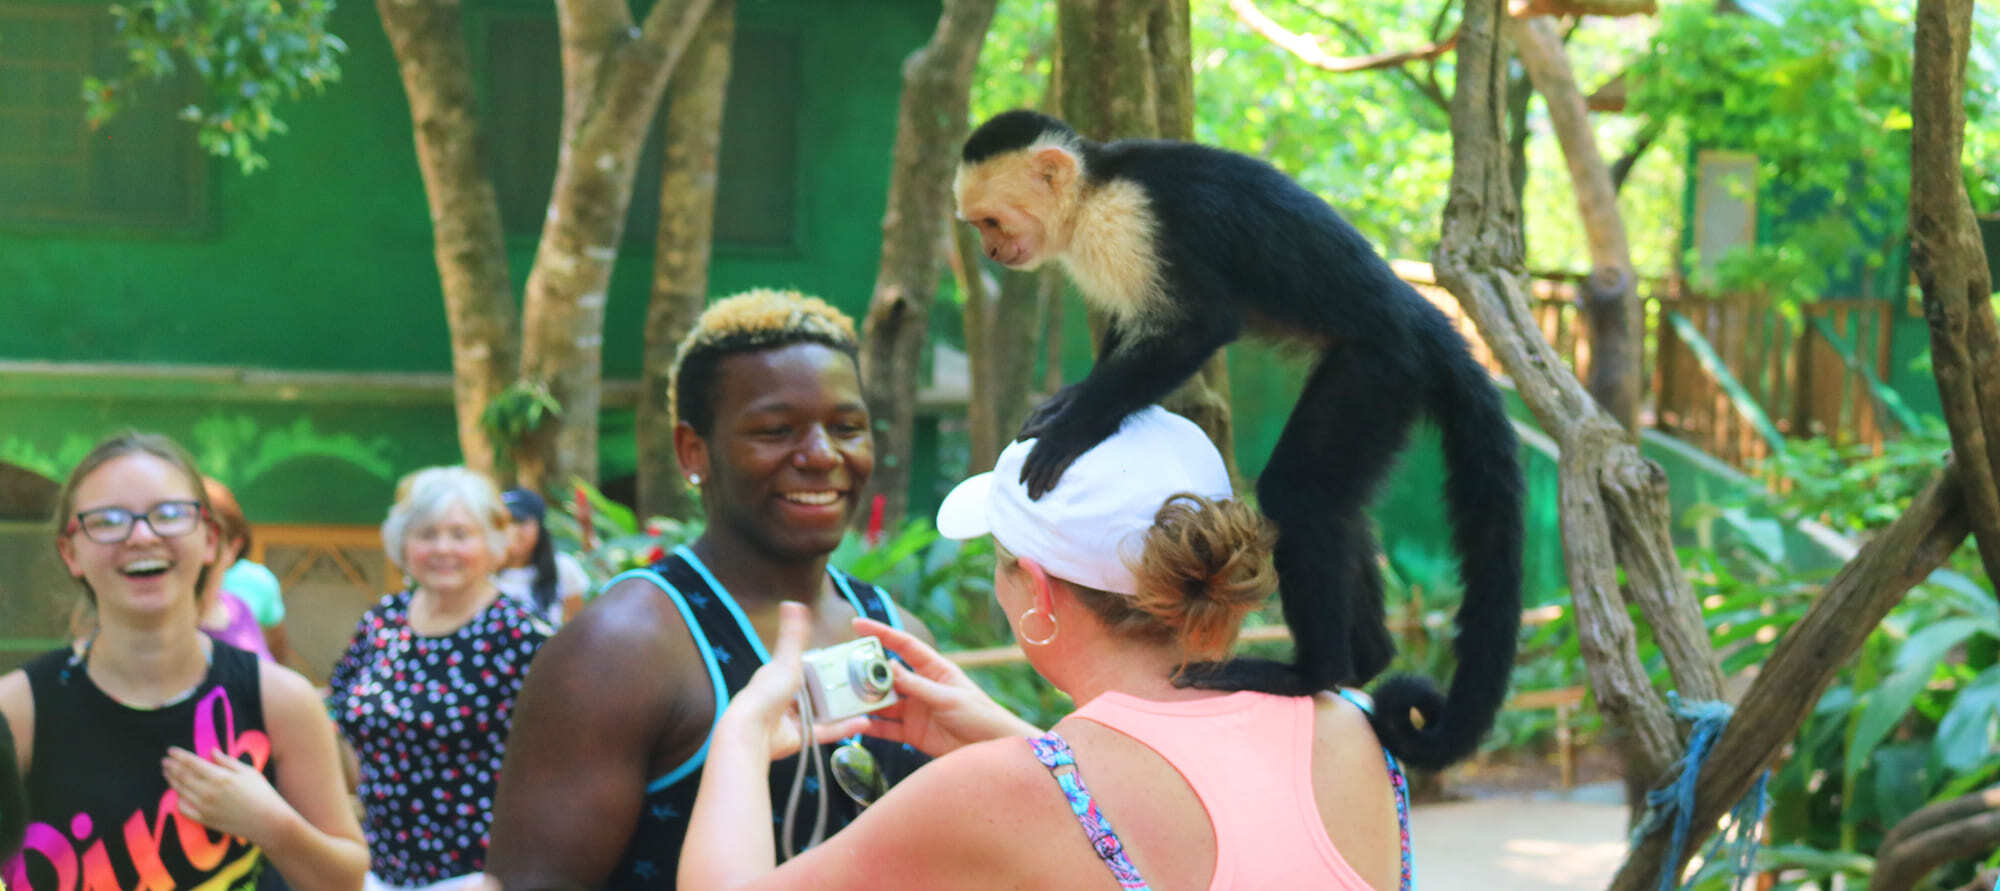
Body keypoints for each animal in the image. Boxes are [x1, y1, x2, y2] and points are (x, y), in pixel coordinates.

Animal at [960, 107, 1520, 771]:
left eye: (991, 221)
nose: (991, 251)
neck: (1094, 188)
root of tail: (1417, 312)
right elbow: (1130, 326)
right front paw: (1074, 400)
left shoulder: (1129, 221)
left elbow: (1200, 324)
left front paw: (1077, 424)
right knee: (1341, 507)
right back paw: (1367, 659)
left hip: (1381, 368)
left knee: (1299, 493)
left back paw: (1310, 673)